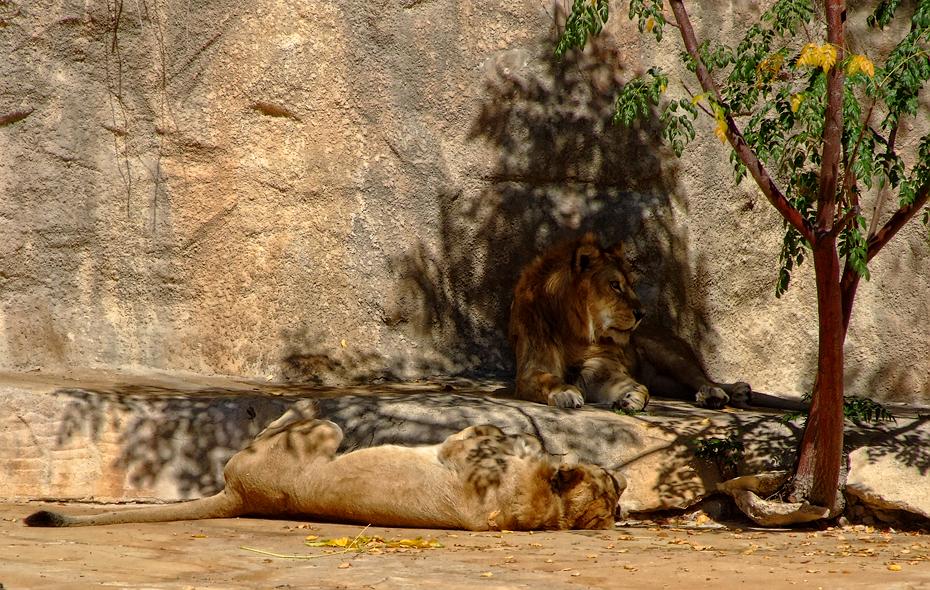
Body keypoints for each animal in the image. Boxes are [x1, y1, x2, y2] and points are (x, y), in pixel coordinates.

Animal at [509, 232, 751, 411]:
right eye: (615, 285)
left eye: (631, 284)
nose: (641, 313)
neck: (575, 331)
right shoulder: (531, 370)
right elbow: (548, 379)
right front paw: (565, 392)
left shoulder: (600, 369)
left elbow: (636, 386)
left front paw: (633, 396)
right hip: (665, 381)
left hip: (668, 354)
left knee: (701, 377)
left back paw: (722, 393)